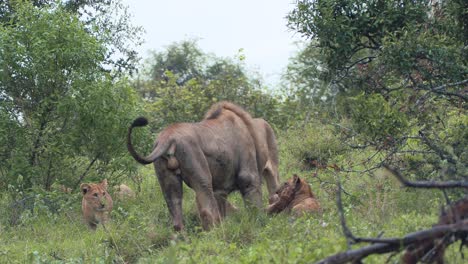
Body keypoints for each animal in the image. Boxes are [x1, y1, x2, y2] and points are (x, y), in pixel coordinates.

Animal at [127, 102, 278, 230]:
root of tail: (167, 138)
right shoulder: (248, 176)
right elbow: (255, 207)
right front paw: (260, 225)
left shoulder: (220, 189)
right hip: (202, 177)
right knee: (208, 211)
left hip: (168, 181)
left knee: (176, 218)